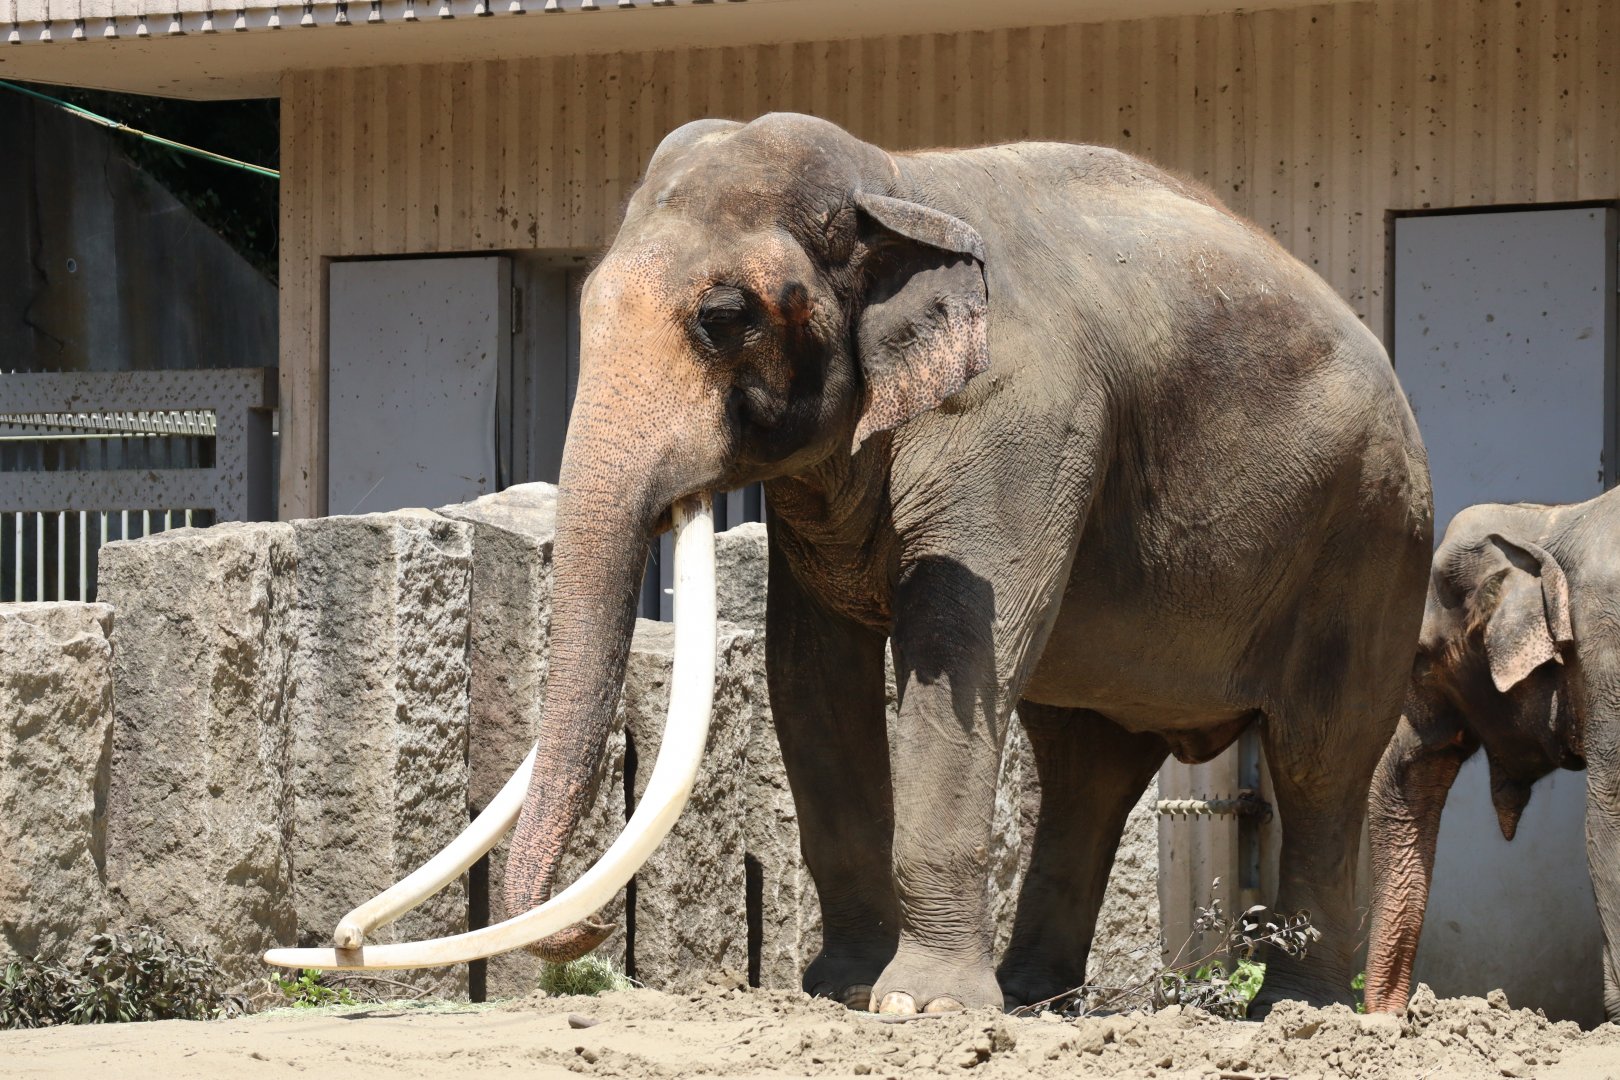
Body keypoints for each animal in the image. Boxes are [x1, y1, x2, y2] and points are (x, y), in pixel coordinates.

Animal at [268, 112, 1433, 1016]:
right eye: (584, 302)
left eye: (724, 318)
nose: (332, 945)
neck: (897, 183)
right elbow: (810, 672)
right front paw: (844, 989)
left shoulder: (1022, 420)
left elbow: (953, 654)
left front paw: (918, 1008)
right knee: (1087, 762)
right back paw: (1038, 1000)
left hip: (1372, 541)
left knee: (1319, 757)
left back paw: (1300, 1012)